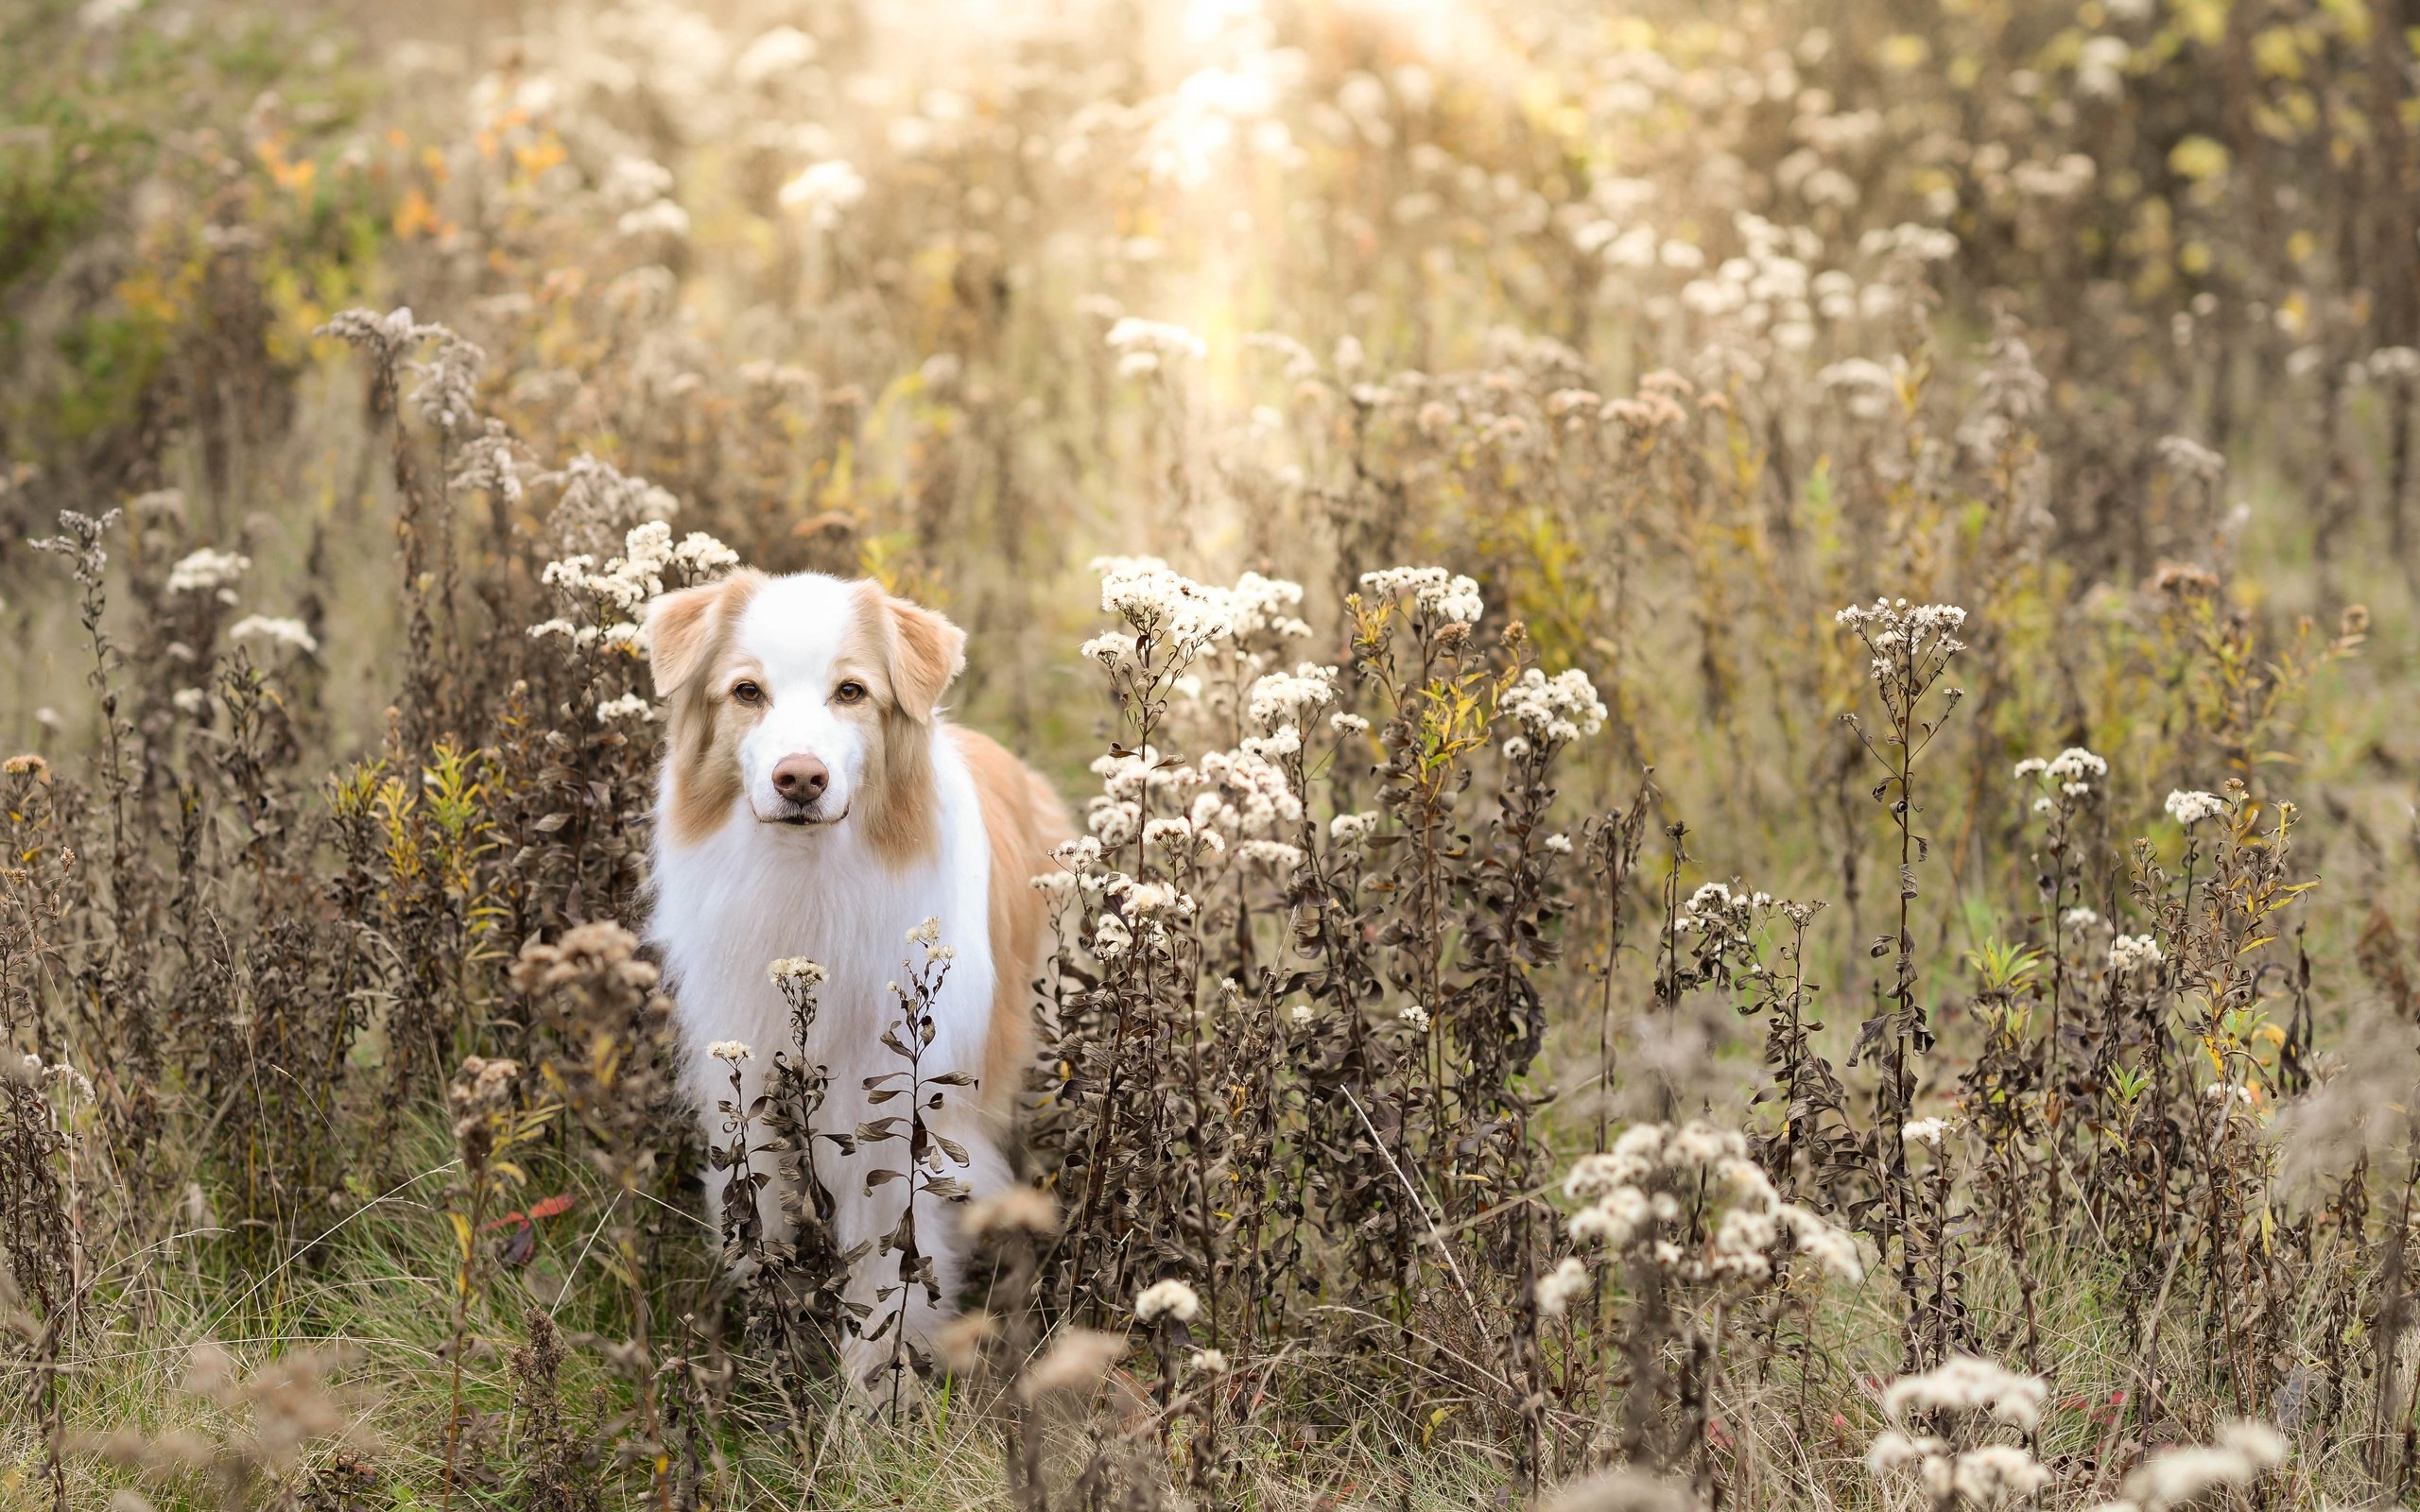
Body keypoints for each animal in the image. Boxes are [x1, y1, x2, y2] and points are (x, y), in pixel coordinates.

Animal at [648, 566, 1064, 1383]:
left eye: (851, 692)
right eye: (747, 691)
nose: (800, 779)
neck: (808, 875)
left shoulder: (905, 1125)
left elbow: (887, 1281)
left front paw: (871, 1399)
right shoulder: (748, 1093)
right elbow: (761, 1229)